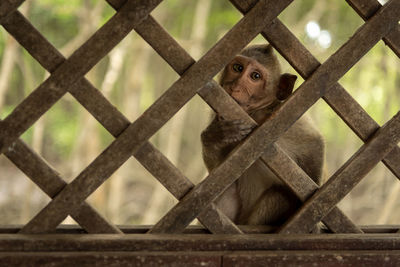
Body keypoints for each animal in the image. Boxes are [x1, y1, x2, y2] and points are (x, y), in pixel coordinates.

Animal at [200, 44, 324, 230]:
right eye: (238, 68)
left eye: (255, 76)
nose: (234, 87)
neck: (257, 114)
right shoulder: (220, 113)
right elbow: (217, 171)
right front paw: (215, 135)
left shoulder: (288, 120)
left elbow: (314, 143)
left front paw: (311, 211)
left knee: (280, 193)